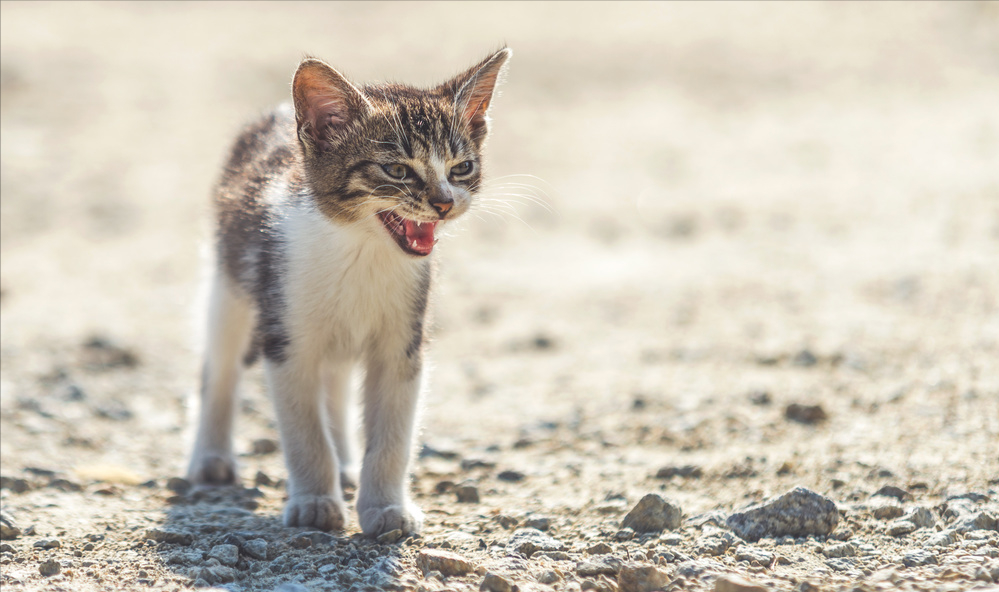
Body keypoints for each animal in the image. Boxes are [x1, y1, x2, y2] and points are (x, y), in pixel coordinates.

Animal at [188, 47, 512, 536]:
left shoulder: (404, 342)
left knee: (335, 382)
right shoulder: (285, 337)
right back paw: (210, 457)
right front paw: (315, 502)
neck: (362, 250)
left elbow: (393, 437)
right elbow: (305, 432)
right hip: (230, 280)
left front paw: (385, 507)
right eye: (396, 169)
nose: (444, 202)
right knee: (220, 365)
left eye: (462, 168)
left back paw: (345, 462)